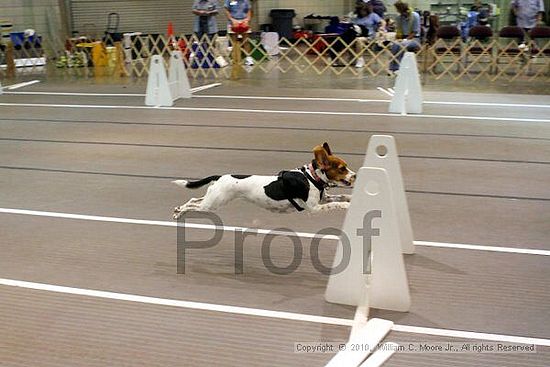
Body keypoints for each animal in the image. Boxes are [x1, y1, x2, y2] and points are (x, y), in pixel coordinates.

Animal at [172, 143, 358, 218]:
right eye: (342, 168)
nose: (355, 175)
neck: (311, 177)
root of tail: (220, 177)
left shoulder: (323, 199)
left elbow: (340, 197)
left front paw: (350, 198)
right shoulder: (314, 208)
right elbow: (336, 203)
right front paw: (346, 205)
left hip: (212, 199)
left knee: (193, 199)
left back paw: (177, 210)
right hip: (212, 204)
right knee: (193, 206)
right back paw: (179, 211)